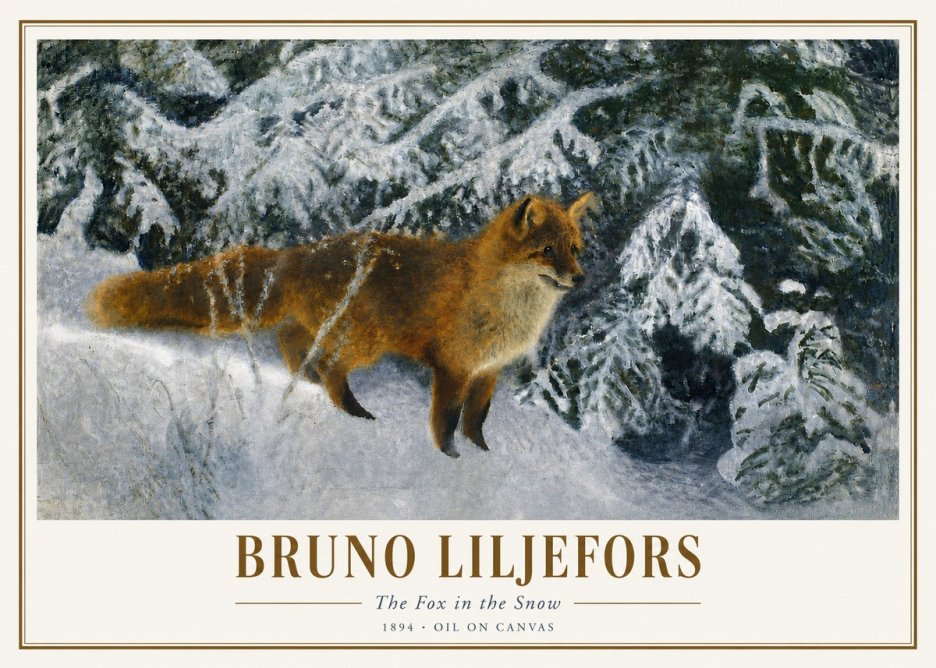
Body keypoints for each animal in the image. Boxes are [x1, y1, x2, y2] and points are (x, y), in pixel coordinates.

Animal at [86, 192, 593, 458]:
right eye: (547, 250)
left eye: (575, 248)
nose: (581, 278)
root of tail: (301, 252)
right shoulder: (453, 365)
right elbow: (447, 420)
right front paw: (449, 458)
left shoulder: (488, 370)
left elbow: (477, 419)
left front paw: (483, 455)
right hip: (364, 342)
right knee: (327, 366)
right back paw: (352, 411)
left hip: (338, 332)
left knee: (292, 339)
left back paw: (306, 379)